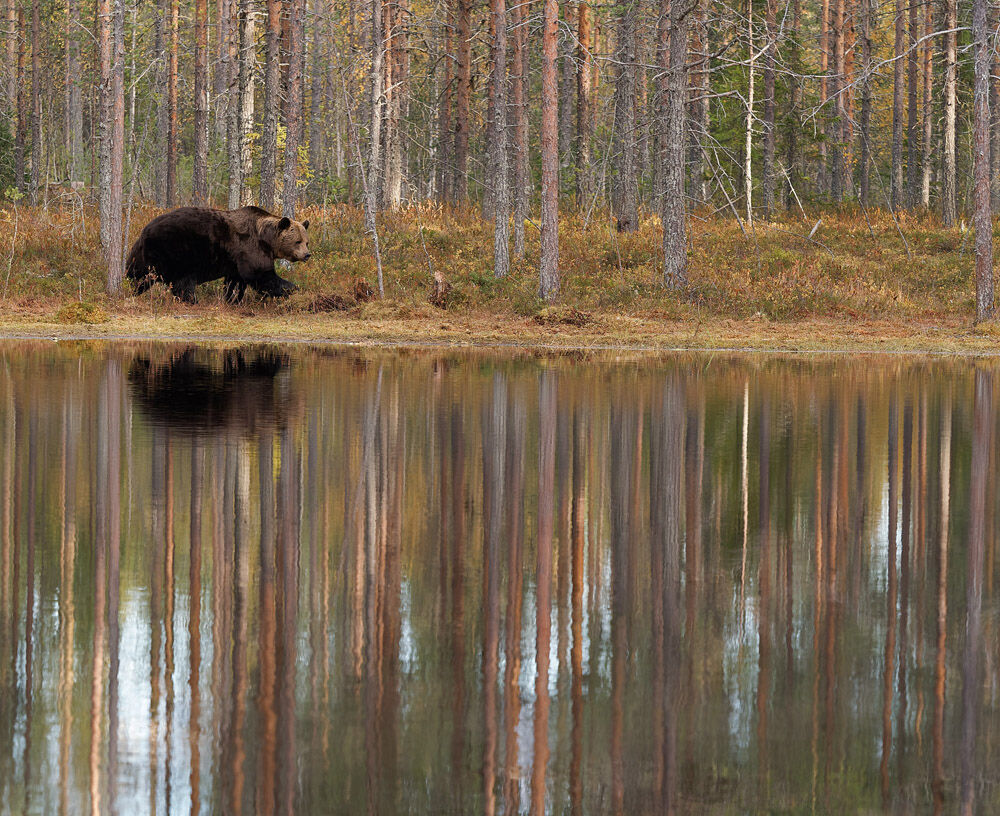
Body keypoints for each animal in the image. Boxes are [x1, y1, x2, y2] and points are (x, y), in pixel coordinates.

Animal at [125, 205, 311, 303]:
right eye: (297, 241)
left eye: (306, 241)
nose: (307, 254)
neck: (267, 240)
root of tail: (145, 229)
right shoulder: (250, 249)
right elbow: (262, 275)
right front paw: (292, 288)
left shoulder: (235, 261)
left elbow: (235, 282)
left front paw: (232, 299)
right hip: (176, 249)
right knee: (181, 281)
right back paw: (191, 299)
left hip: (144, 254)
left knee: (138, 275)